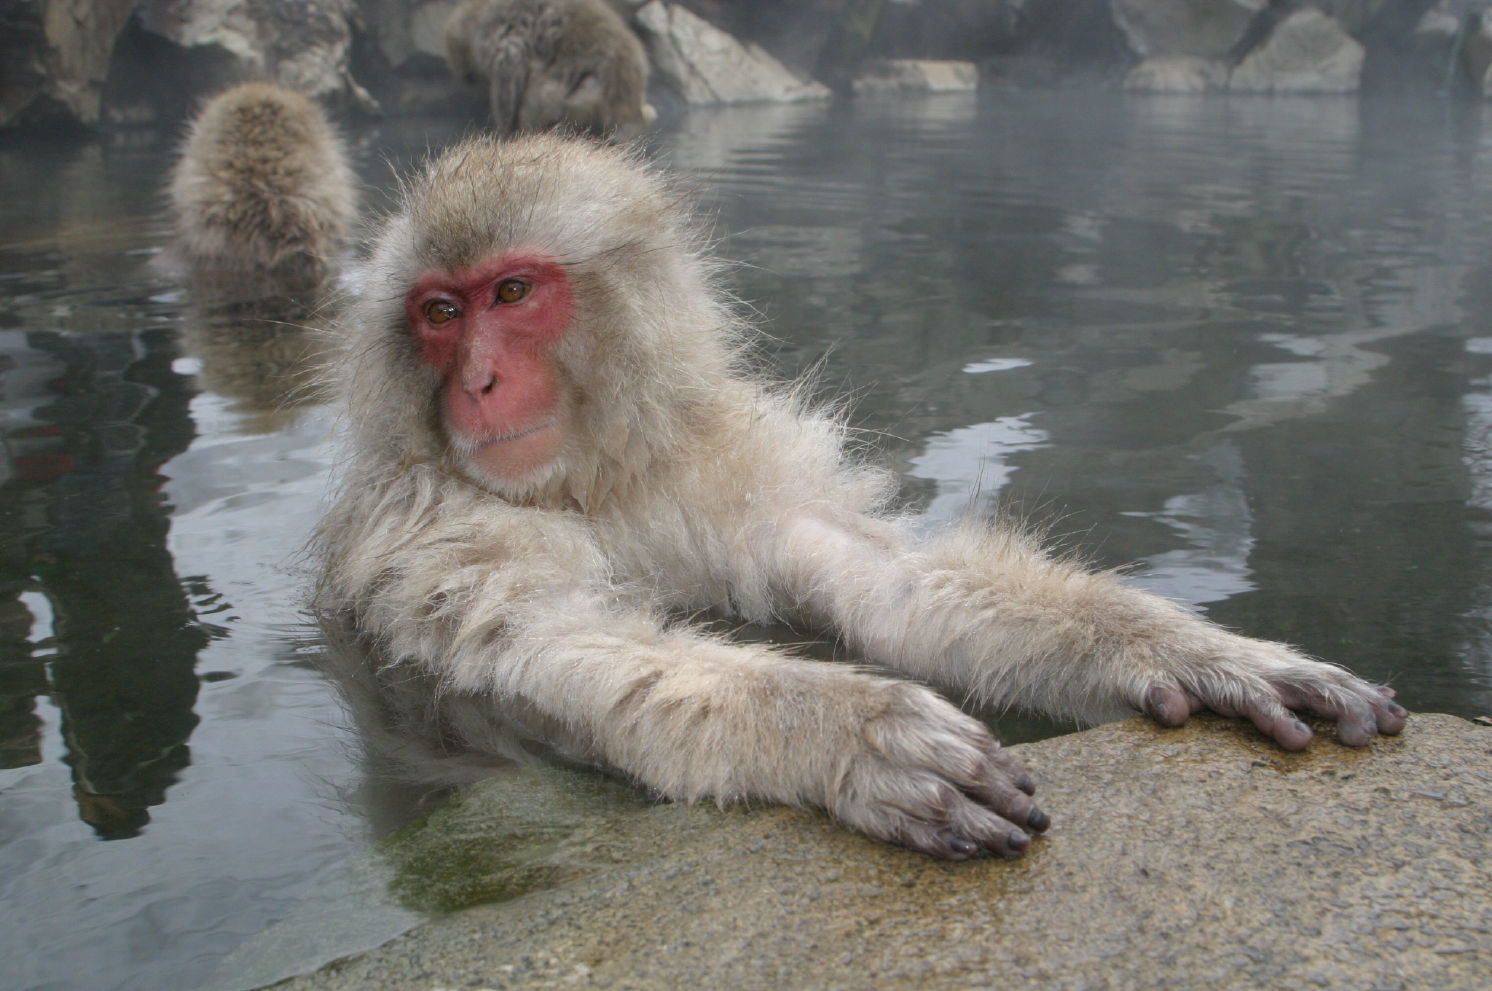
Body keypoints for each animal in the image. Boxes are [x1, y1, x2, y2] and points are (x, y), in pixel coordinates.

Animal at [308, 131, 1402, 859]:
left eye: (511, 294)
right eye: (438, 313)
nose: (479, 382)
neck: (589, 476)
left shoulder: (734, 469)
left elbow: (880, 579)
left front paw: (1189, 651)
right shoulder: (420, 525)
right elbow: (542, 647)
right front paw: (845, 732)